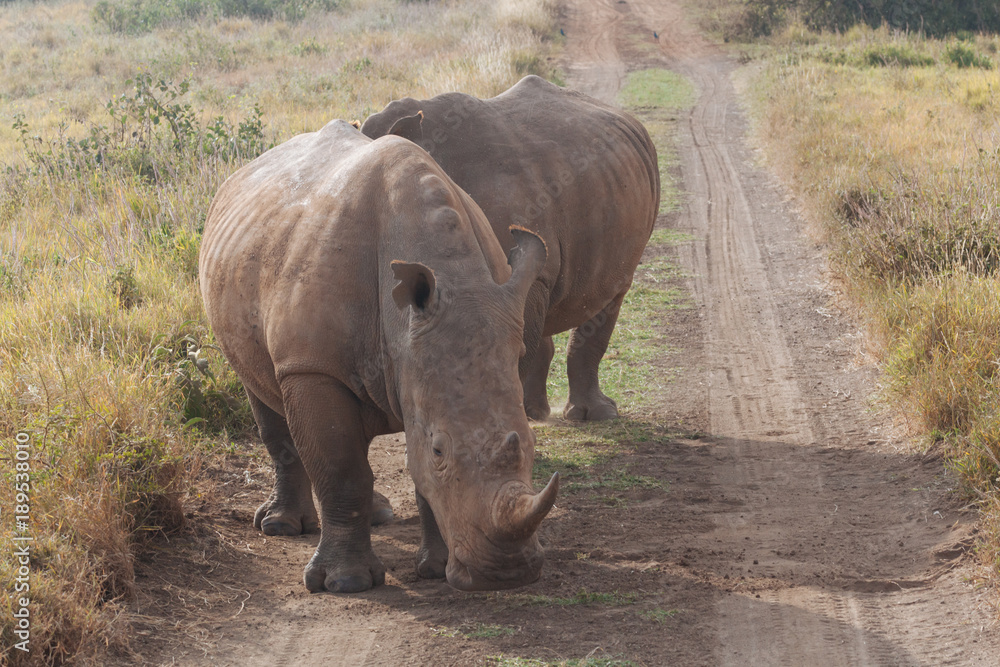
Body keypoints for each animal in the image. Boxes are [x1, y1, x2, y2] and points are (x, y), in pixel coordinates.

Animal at [199, 119, 559, 593]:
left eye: (532, 445)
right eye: (440, 450)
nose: (506, 573)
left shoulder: (434, 356)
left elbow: (414, 471)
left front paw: (433, 569)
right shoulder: (311, 367)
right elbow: (341, 466)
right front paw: (346, 583)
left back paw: (377, 517)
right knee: (262, 395)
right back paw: (279, 527)